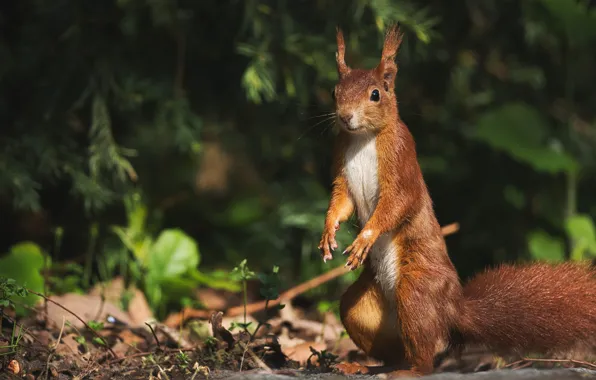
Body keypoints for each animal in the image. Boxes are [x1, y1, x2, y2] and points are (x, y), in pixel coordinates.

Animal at [316, 25, 596, 378]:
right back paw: (361, 366)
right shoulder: (342, 166)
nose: (345, 117)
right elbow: (342, 202)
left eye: (376, 94)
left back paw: (409, 370)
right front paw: (328, 232)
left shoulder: (401, 160)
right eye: (334, 90)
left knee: (423, 358)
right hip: (362, 308)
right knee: (394, 350)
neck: (363, 138)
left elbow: (397, 204)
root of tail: (453, 310)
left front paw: (365, 237)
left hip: (416, 291)